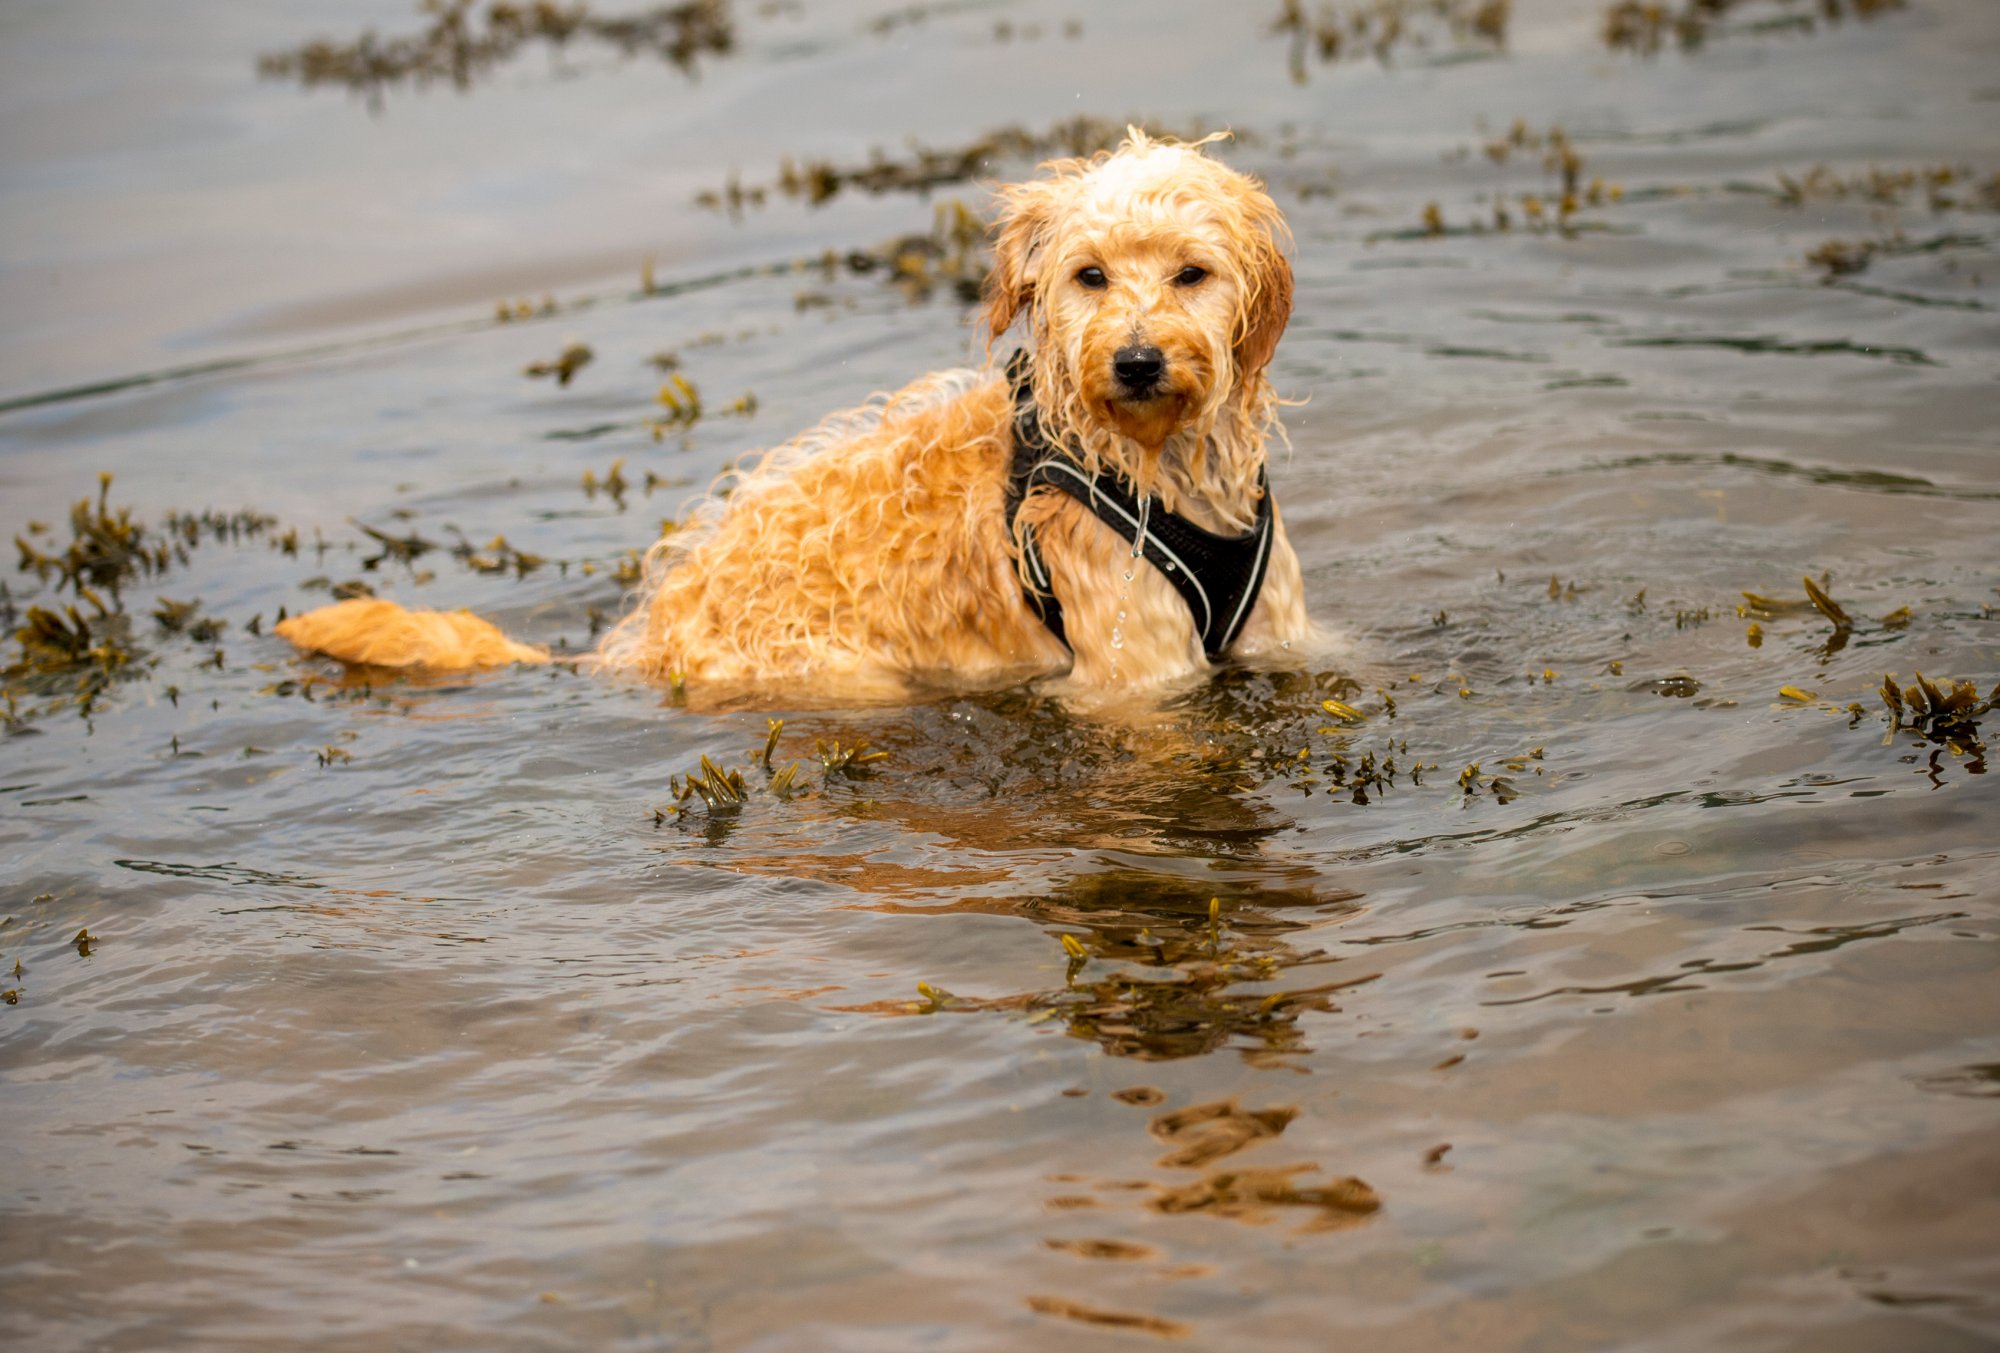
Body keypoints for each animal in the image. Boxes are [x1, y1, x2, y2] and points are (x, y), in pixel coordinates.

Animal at [282, 131, 1312, 704]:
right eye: (1089, 275)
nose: (1136, 361)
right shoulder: (1139, 675)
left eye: (1191, 272)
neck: (1157, 468)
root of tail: (639, 644)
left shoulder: (1283, 637)